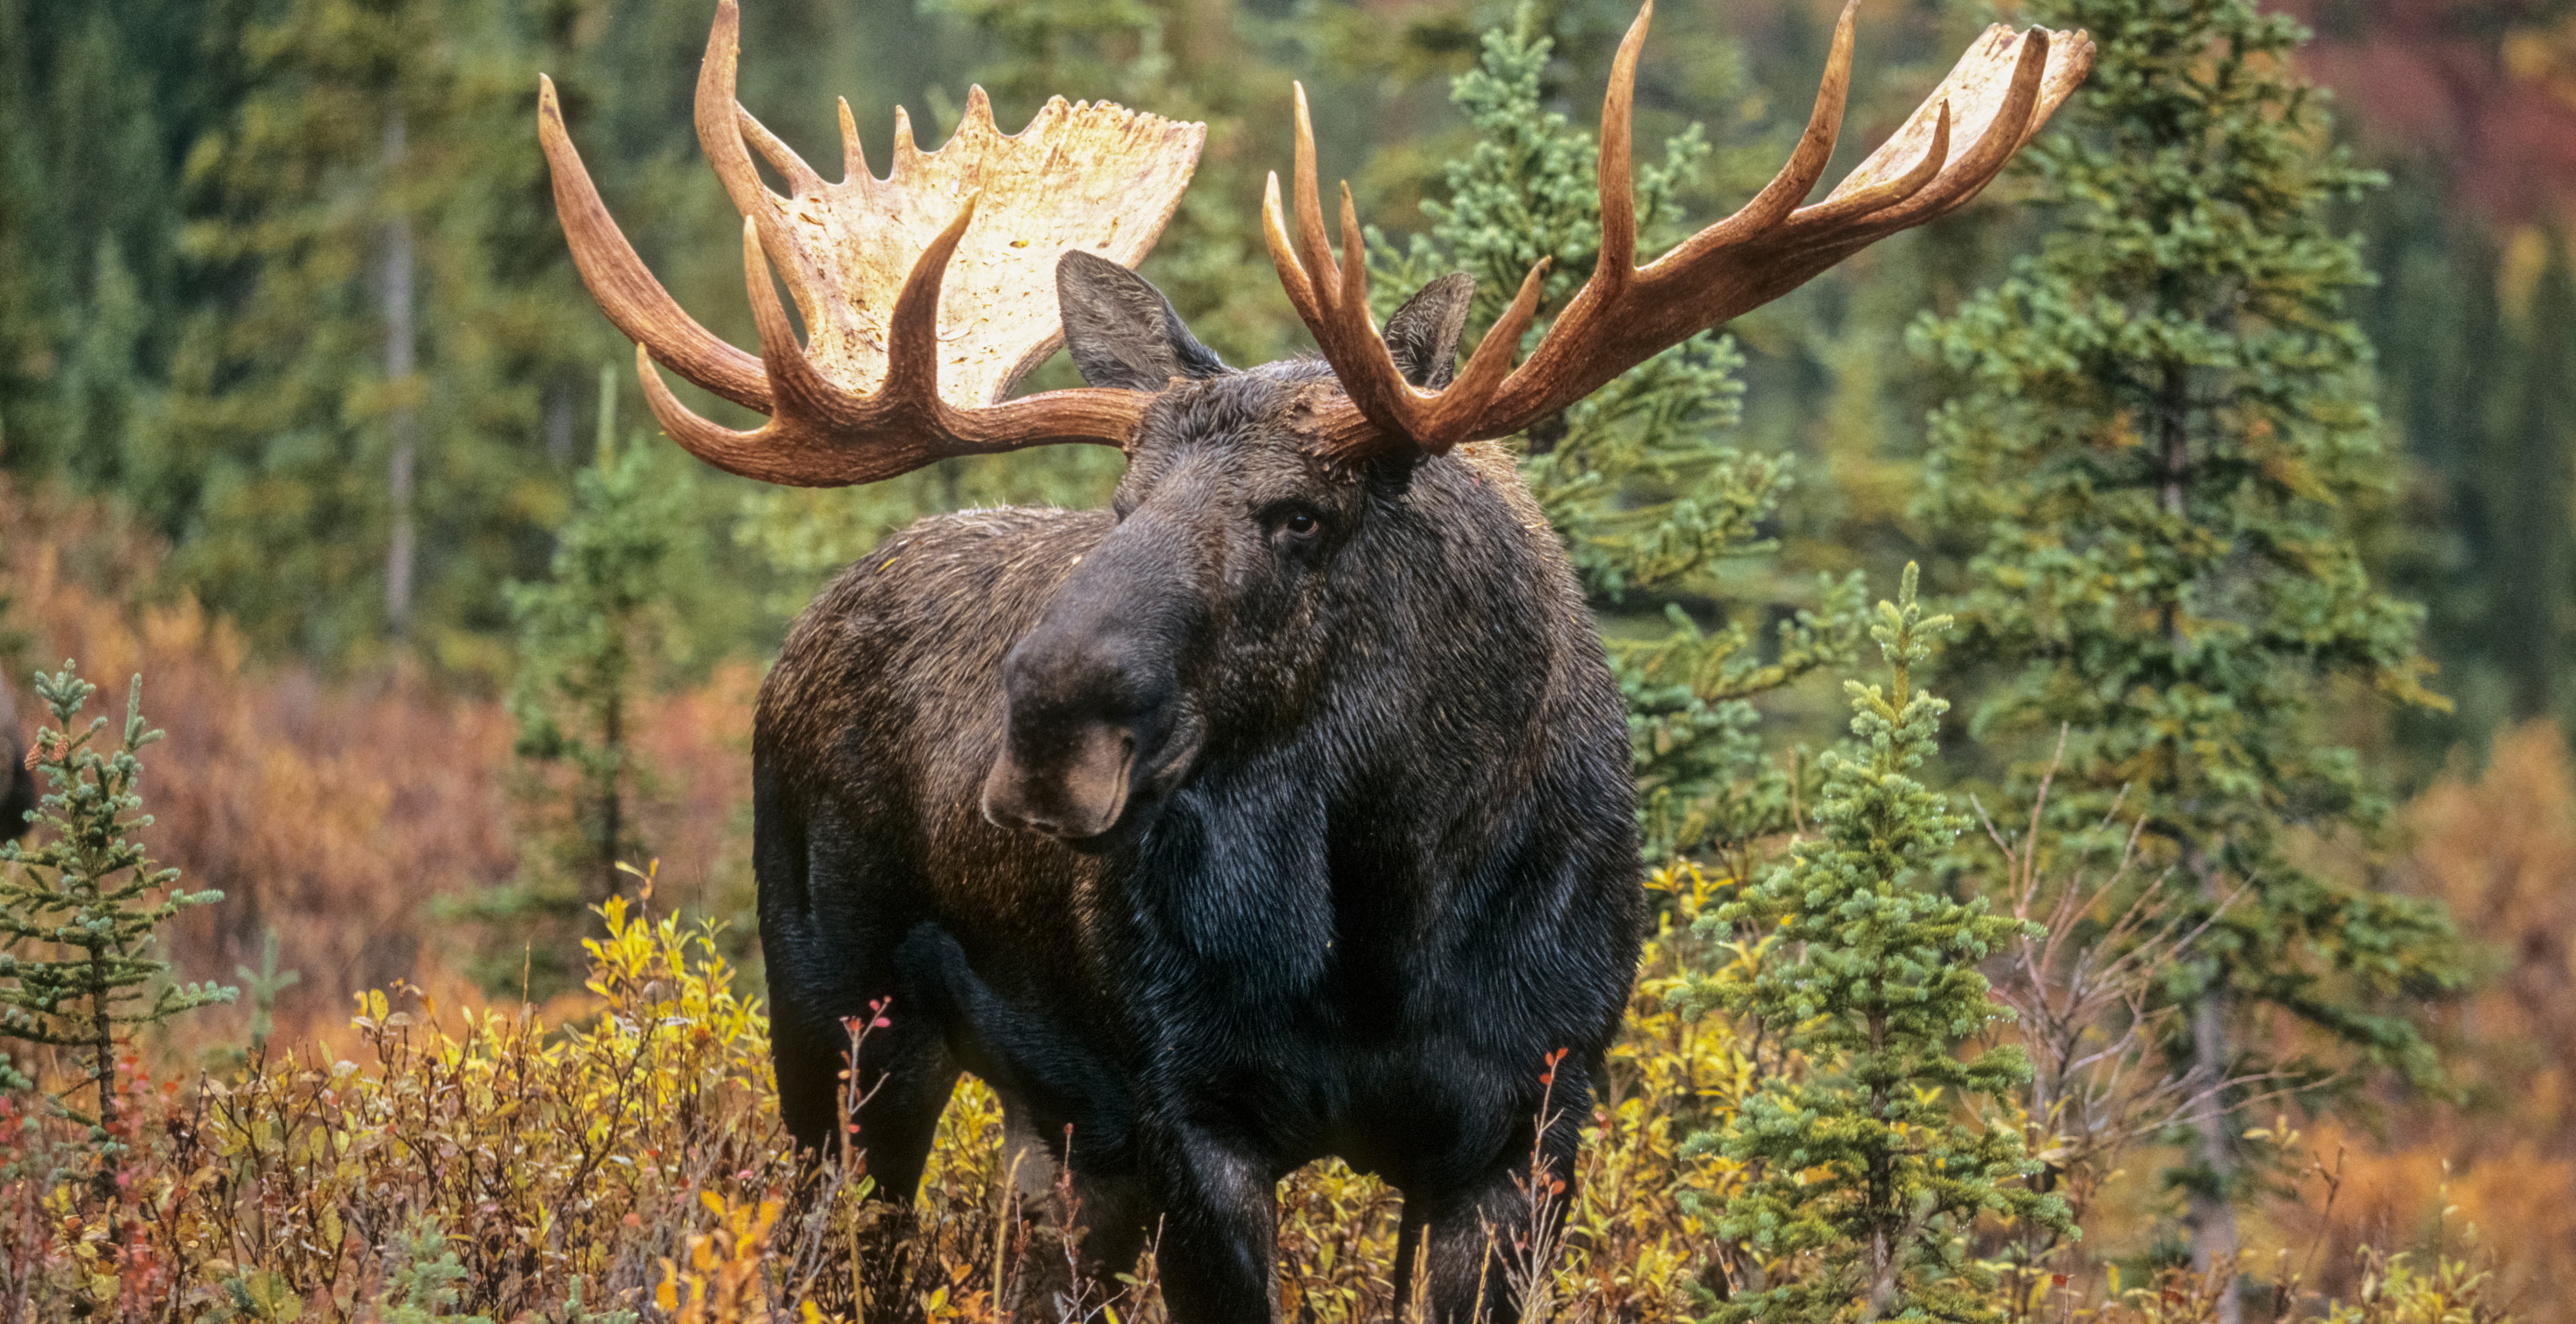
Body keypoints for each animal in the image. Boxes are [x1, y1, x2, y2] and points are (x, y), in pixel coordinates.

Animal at [533, 4, 2081, 1313]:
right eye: (1121, 501)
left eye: (1301, 516)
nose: (1042, 735)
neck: (1390, 917)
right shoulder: (1191, 1118)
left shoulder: (1533, 1125)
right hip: (839, 1022)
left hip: (1060, 1130)